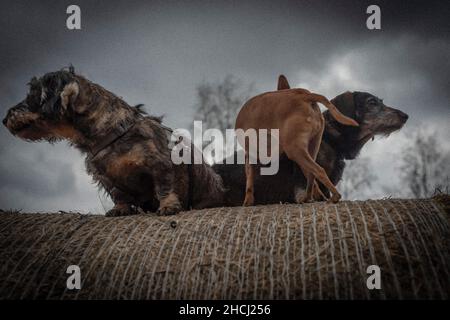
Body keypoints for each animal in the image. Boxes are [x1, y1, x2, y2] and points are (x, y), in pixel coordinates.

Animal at [1, 68, 223, 218]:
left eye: (31, 97)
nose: (4, 119)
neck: (110, 134)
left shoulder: (159, 164)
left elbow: (164, 187)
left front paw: (168, 206)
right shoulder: (105, 177)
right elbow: (119, 195)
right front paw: (120, 209)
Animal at [214, 75, 408, 205]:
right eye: (372, 102)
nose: (404, 116)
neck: (333, 140)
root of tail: (305, 95)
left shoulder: (251, 156)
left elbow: (249, 180)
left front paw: (247, 202)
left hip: (295, 149)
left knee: (317, 172)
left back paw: (332, 197)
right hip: (308, 149)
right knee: (312, 176)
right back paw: (312, 198)